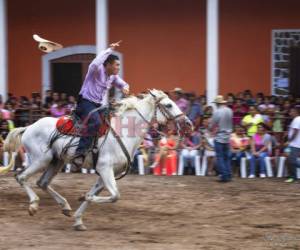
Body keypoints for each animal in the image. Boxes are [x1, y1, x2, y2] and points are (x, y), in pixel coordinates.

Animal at [0, 89, 192, 230]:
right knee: (21, 177)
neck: (122, 134)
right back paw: (33, 205)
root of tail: (28, 127)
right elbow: (114, 196)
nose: (188, 124)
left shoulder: (106, 173)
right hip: (41, 160)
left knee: (42, 182)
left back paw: (65, 207)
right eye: (169, 105)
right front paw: (84, 198)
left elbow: (98, 195)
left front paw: (79, 219)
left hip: (56, 161)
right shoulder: (105, 169)